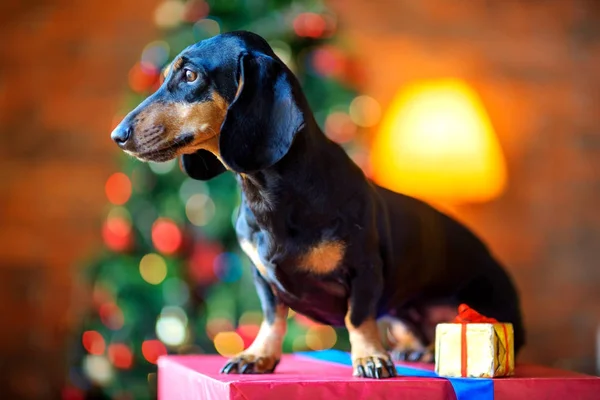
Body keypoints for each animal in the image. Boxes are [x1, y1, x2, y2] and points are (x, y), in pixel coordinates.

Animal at [110, 30, 524, 378]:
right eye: (165, 74)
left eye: (190, 75)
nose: (118, 135)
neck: (272, 197)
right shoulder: (261, 276)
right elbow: (272, 318)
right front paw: (258, 355)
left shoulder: (364, 270)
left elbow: (358, 318)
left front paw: (370, 358)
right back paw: (415, 350)